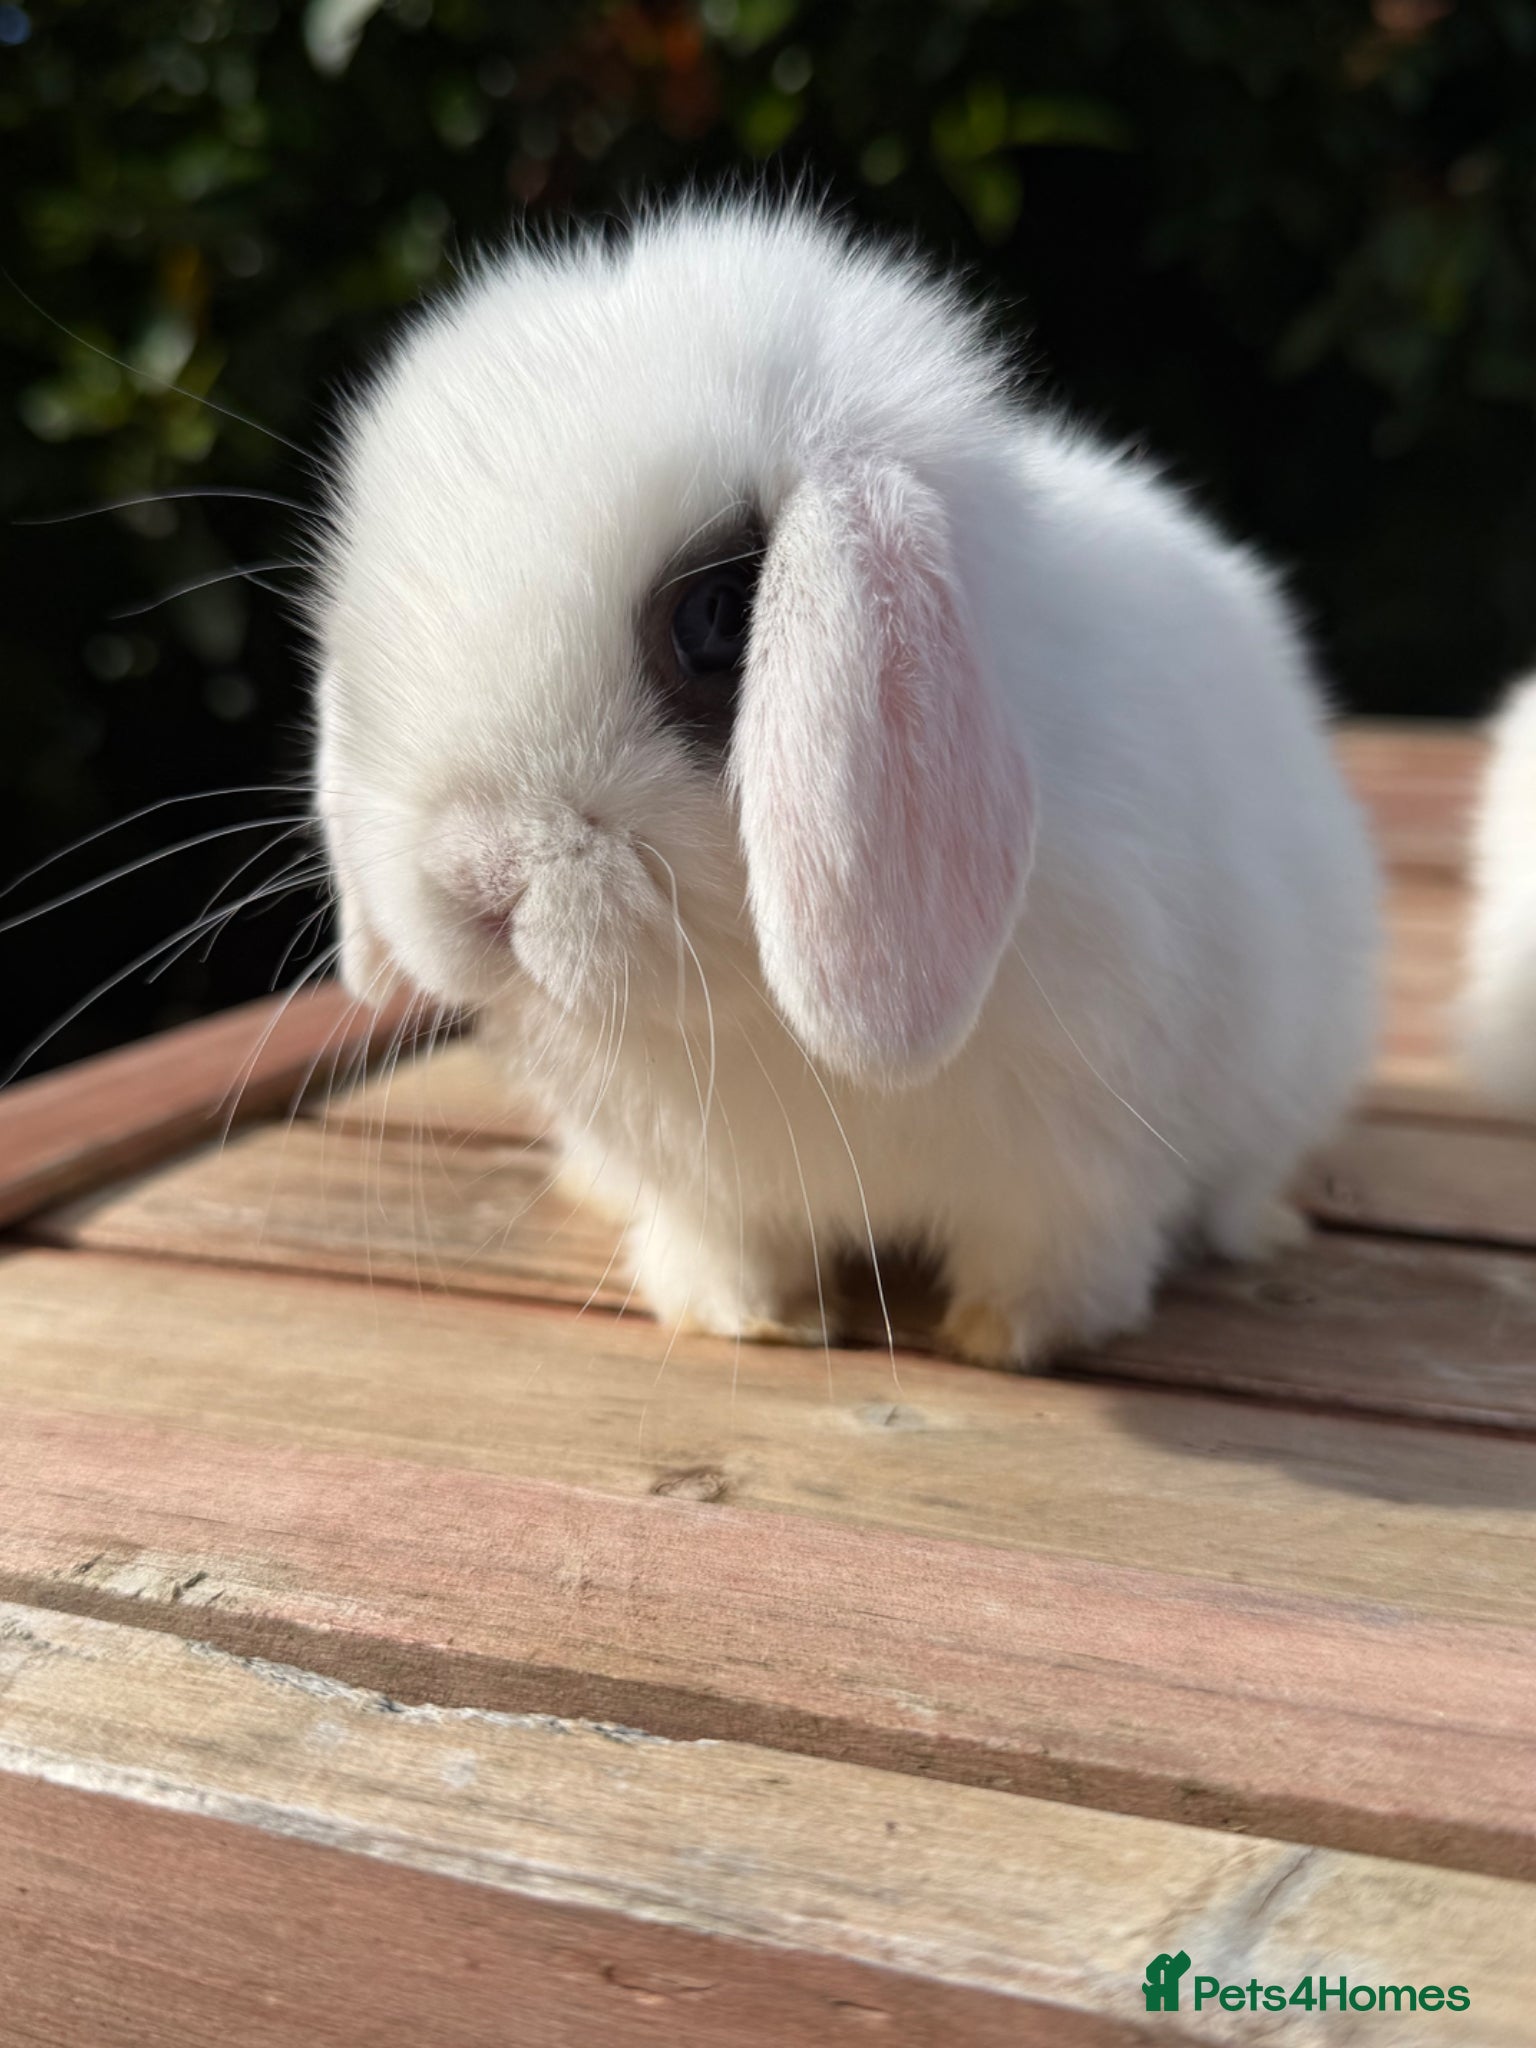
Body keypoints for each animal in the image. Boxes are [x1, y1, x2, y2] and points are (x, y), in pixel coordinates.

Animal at [313, 200, 1380, 1371]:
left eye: (716, 620)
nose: (478, 879)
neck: (748, 1008)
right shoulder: (714, 1193)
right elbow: (732, 1242)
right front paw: (744, 1315)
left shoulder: (1080, 1169)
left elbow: (1058, 1253)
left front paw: (1007, 1336)